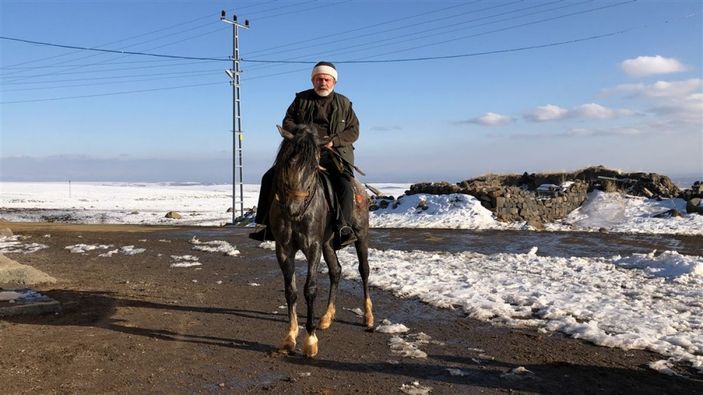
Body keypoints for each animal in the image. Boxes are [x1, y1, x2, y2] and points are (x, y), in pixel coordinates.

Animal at [268, 124, 374, 358]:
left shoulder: (313, 247)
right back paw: (326, 317)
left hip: (361, 235)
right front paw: (290, 337)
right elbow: (290, 291)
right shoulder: (284, 249)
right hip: (328, 244)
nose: (294, 209)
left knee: (364, 270)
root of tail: (361, 188)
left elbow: (310, 289)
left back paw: (368, 317)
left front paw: (310, 340)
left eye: (313, 166)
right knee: (336, 271)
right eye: (288, 162)